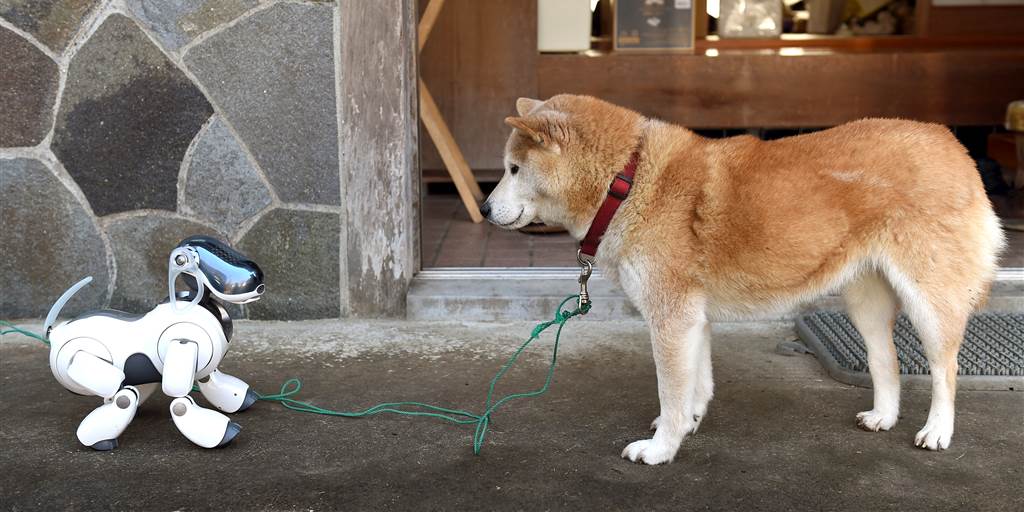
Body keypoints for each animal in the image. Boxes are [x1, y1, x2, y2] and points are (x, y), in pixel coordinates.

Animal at [45, 235, 266, 448]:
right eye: (202, 255)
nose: (256, 279)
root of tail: (55, 335)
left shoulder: (203, 368)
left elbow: (208, 378)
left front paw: (242, 398)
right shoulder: (182, 342)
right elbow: (179, 399)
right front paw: (223, 433)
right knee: (123, 397)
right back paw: (100, 439)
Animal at [481, 95, 1007, 464]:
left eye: (513, 169)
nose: (483, 209)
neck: (627, 180)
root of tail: (952, 143)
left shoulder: (671, 319)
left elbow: (672, 390)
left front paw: (661, 449)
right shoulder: (692, 320)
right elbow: (695, 385)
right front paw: (687, 425)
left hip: (929, 302)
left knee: (944, 369)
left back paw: (937, 431)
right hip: (865, 303)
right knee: (887, 360)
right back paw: (883, 416)